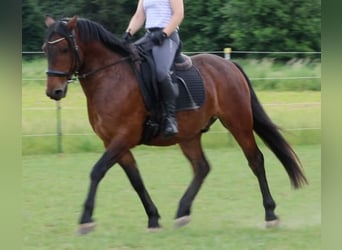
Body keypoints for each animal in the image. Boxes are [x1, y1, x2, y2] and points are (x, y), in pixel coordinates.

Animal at [42, 15, 308, 234]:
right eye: (46, 49)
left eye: (64, 48)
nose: (54, 91)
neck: (111, 77)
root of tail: (228, 65)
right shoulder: (114, 142)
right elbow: (135, 179)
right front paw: (153, 219)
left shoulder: (123, 138)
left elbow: (96, 171)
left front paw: (86, 219)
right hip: (189, 135)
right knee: (202, 167)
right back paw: (182, 213)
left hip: (238, 123)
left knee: (255, 160)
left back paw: (270, 214)